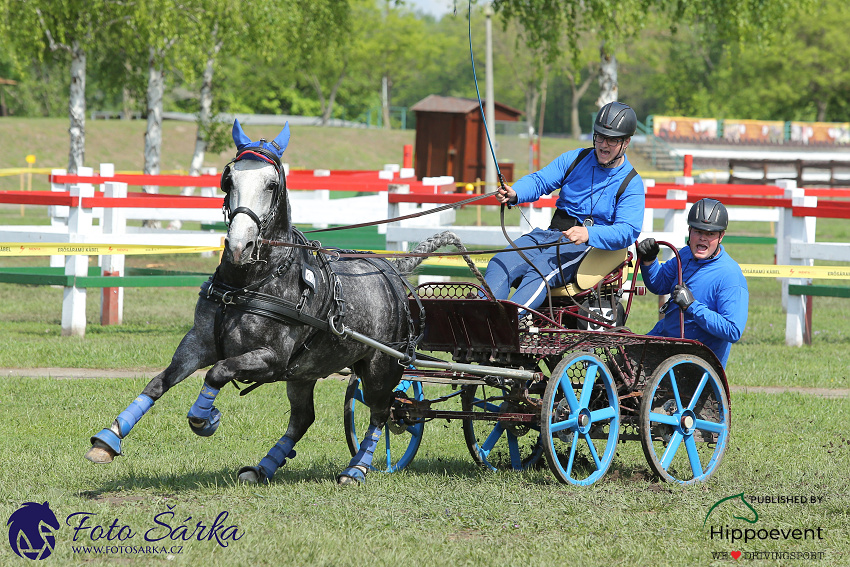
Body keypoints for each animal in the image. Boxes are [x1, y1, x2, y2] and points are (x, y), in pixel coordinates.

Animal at [84, 118, 458, 484]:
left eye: (272, 184)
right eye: (228, 178)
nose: (239, 246)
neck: (246, 284)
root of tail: (392, 269)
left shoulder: (271, 358)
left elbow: (218, 372)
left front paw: (204, 417)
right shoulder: (198, 342)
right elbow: (160, 381)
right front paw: (108, 440)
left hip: (381, 365)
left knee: (382, 411)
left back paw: (356, 469)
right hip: (305, 373)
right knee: (303, 418)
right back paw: (263, 467)